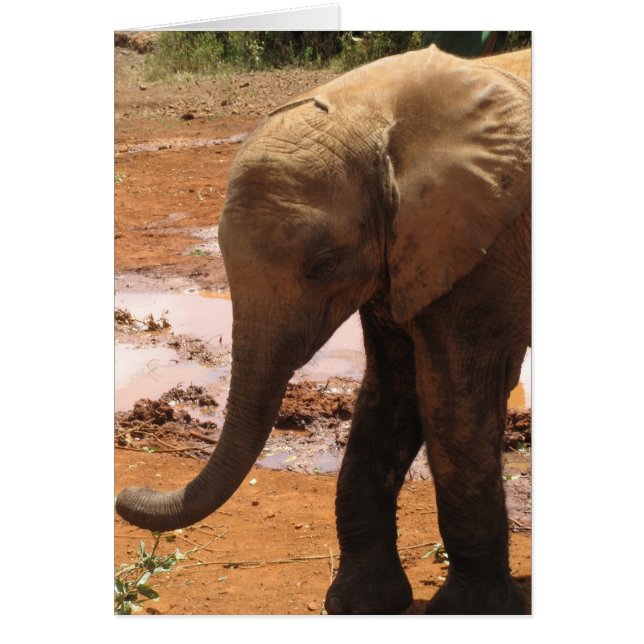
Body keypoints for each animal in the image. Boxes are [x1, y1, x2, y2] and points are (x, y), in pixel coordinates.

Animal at [116, 45, 532, 615]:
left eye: (324, 265)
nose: (124, 495)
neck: (377, 111)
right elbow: (393, 388)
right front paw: (360, 603)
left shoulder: (485, 242)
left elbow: (455, 398)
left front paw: (472, 612)